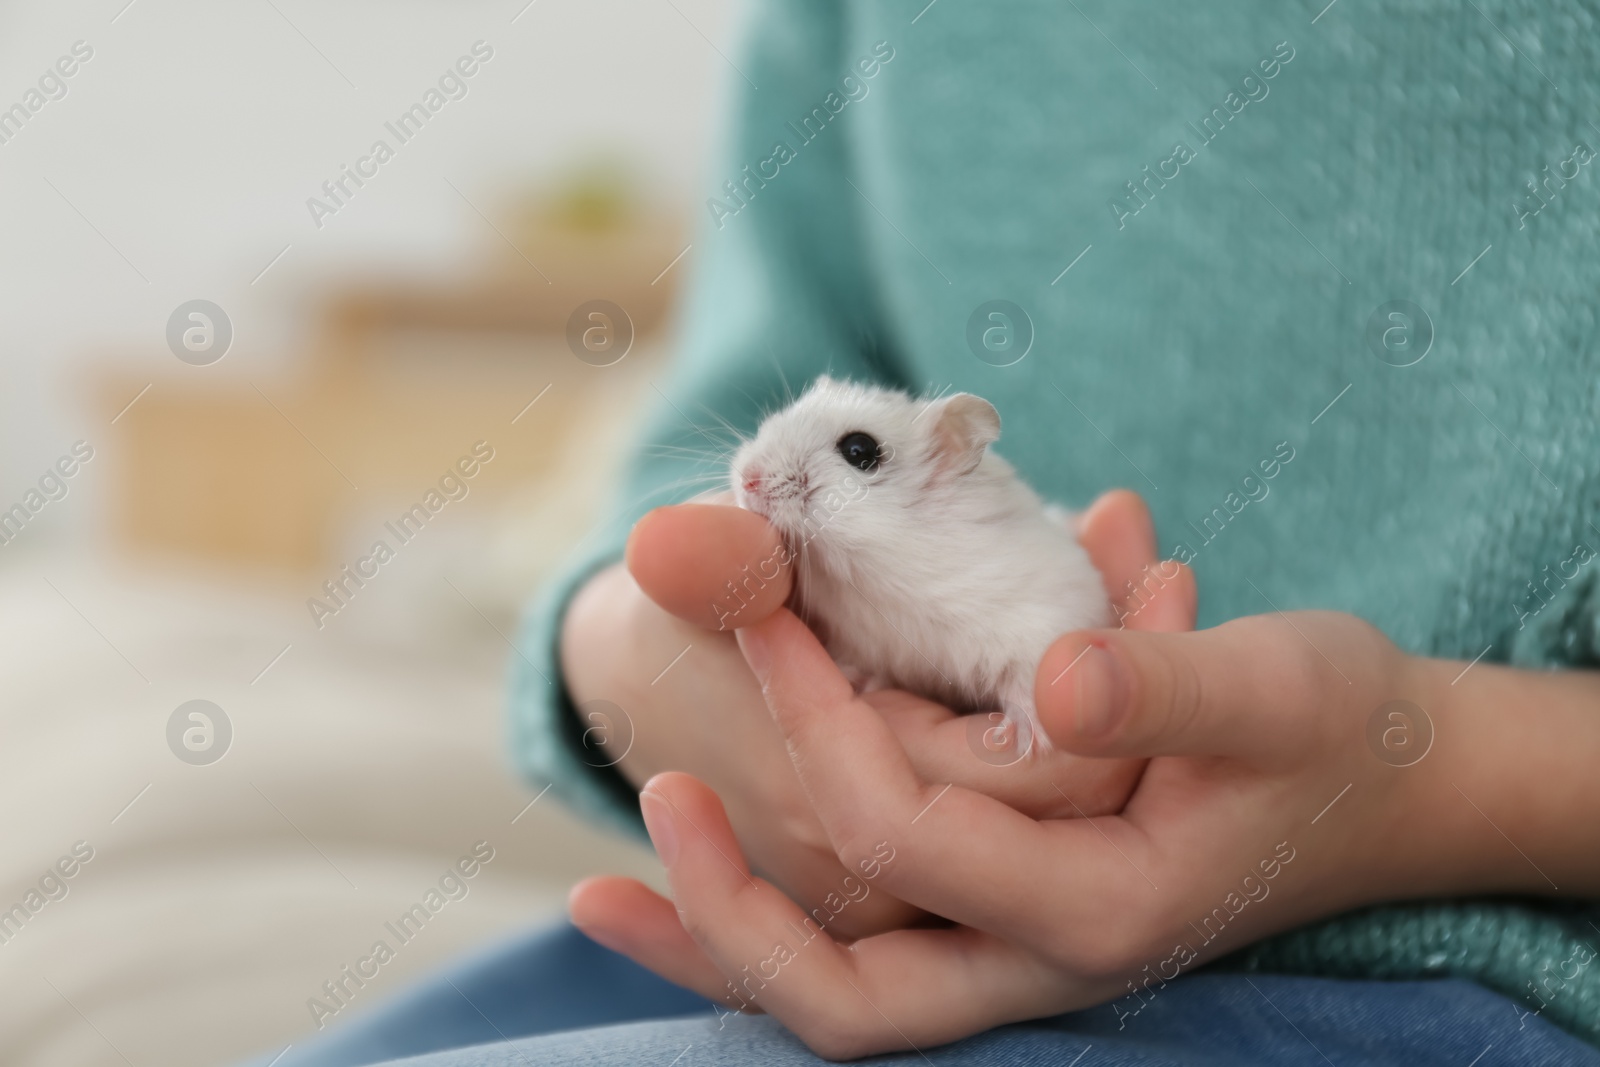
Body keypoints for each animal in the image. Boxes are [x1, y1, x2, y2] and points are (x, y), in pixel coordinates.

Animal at [729, 375, 1113, 751]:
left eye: (860, 450)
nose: (747, 478)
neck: (879, 574)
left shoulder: (1041, 621)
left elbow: (1026, 679)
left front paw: (1023, 740)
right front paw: (853, 677)